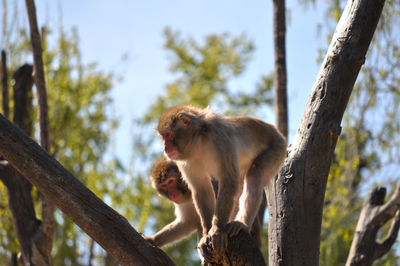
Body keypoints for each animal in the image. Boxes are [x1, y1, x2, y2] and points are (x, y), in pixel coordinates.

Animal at [157, 105, 288, 256]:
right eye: (163, 137)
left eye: (168, 135)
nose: (165, 148)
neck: (199, 142)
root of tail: (276, 131)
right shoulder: (185, 161)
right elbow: (201, 189)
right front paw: (207, 233)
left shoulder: (220, 138)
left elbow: (228, 179)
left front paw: (217, 231)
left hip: (276, 149)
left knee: (254, 173)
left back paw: (242, 223)